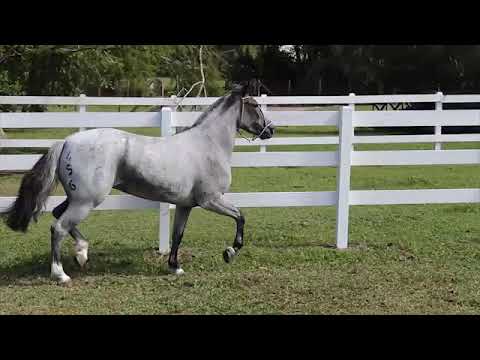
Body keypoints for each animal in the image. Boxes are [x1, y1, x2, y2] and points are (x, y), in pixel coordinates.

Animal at [2, 83, 274, 284]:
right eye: (254, 105)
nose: (270, 130)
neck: (208, 144)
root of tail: (67, 142)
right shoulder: (211, 200)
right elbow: (240, 217)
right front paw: (229, 252)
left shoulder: (186, 205)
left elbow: (177, 235)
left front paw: (175, 267)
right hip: (86, 201)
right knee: (58, 227)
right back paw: (61, 274)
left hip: (78, 199)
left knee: (58, 215)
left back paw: (82, 253)